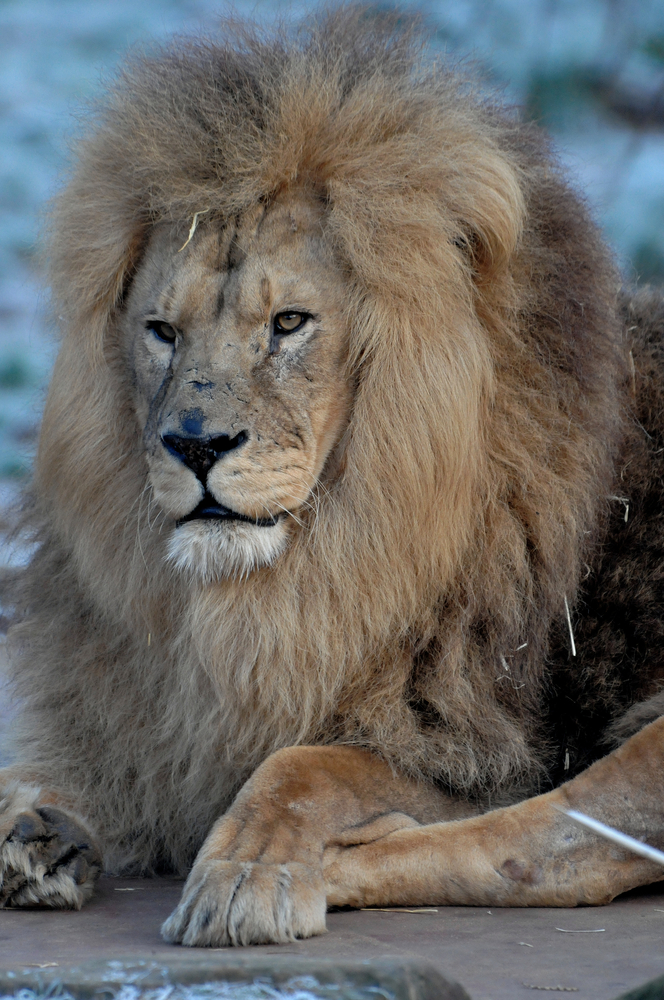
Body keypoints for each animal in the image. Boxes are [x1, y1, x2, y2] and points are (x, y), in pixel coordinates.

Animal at [1, 5, 664, 947]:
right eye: (162, 331)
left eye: (289, 323)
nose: (195, 445)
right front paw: (33, 825)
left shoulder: (489, 751)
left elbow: (307, 763)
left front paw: (252, 866)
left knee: (550, 848)